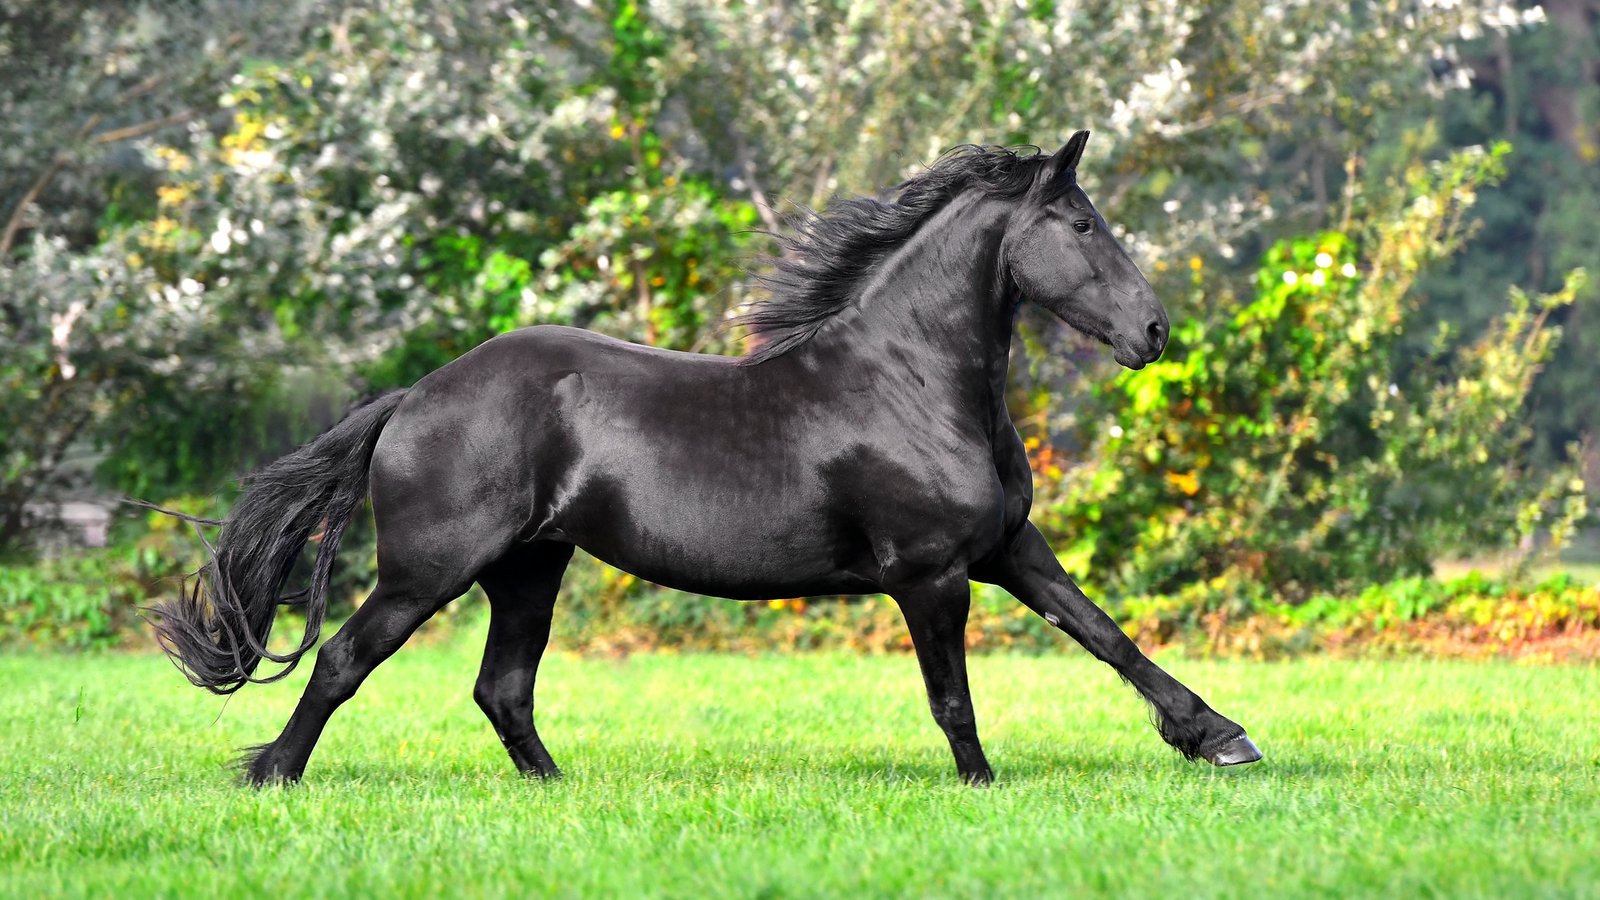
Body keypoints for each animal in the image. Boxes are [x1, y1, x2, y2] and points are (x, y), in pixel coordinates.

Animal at [150, 131, 1261, 786]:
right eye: (1080, 223)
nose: (1154, 331)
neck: (912, 382)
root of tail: (413, 397)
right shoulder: (932, 575)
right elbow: (953, 693)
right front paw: (981, 787)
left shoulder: (1008, 551)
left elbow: (1108, 636)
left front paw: (1219, 736)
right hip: (431, 569)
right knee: (344, 660)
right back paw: (271, 775)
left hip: (529, 569)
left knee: (502, 688)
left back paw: (556, 791)